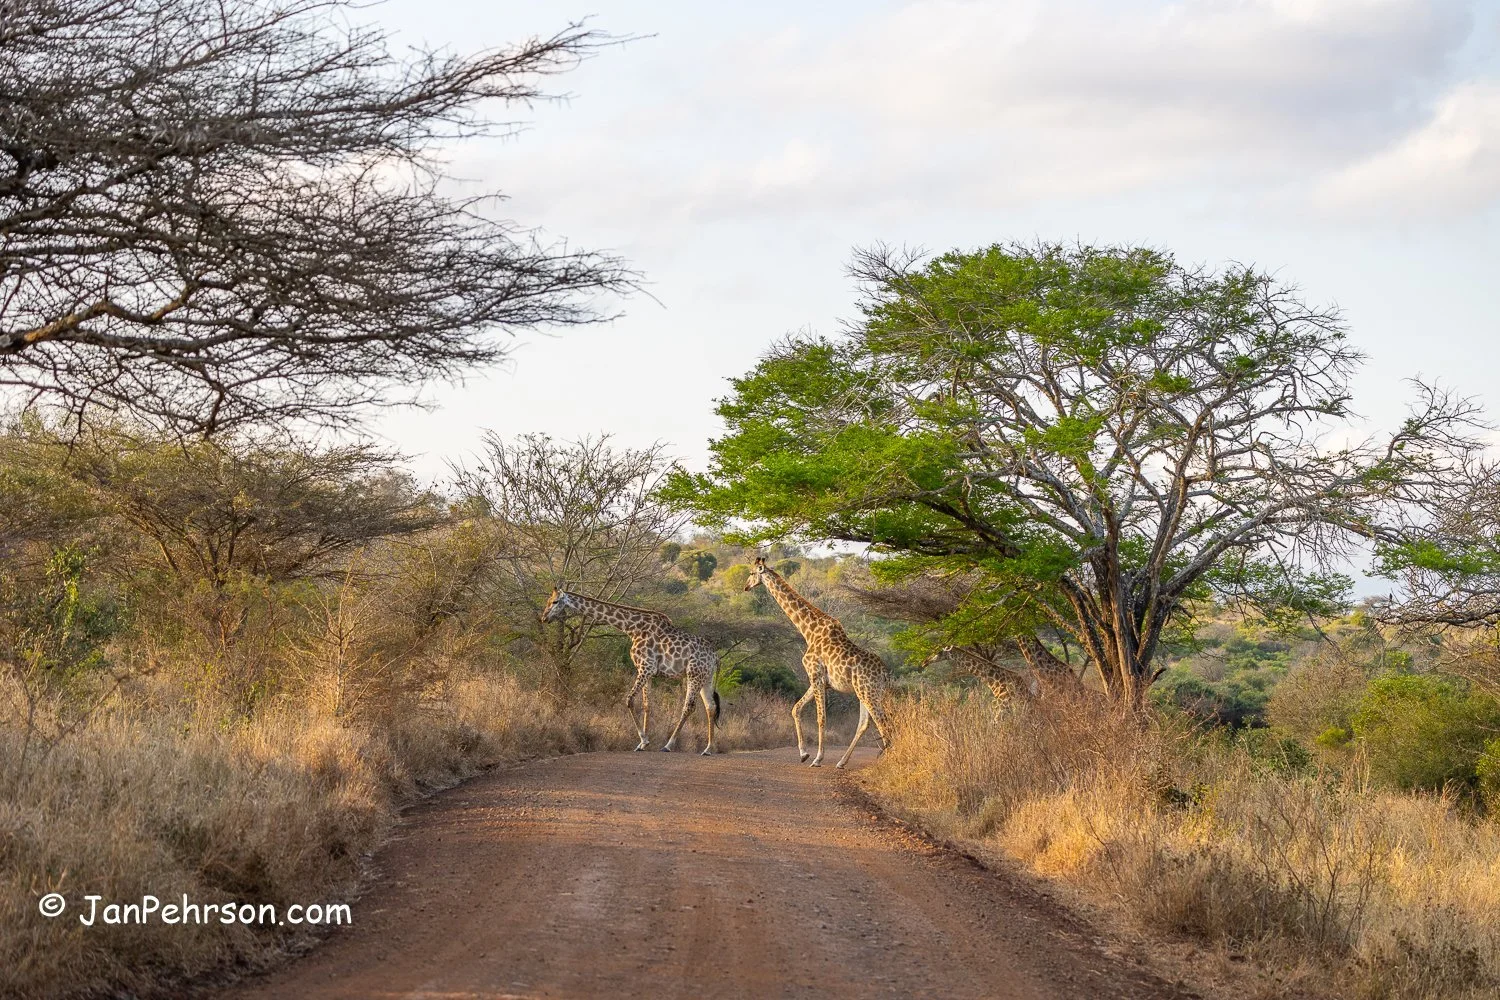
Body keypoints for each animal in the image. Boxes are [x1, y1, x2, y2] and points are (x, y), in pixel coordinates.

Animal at [540, 589, 721, 755]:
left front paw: (644, 741)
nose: (544, 618)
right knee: (710, 707)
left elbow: (629, 700)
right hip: (706, 678)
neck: (631, 628)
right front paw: (642, 744)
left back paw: (668, 745)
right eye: (548, 601)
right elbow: (647, 705)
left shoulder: (646, 667)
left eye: (555, 601)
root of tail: (715, 657)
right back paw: (708, 748)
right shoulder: (649, 672)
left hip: (694, 674)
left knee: (689, 707)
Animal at [744, 557, 891, 768]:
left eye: (751, 573)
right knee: (865, 723)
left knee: (883, 722)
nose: (746, 586)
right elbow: (796, 709)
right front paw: (803, 753)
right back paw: (842, 762)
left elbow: (821, 718)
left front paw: (817, 758)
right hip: (863, 692)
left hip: (869, 692)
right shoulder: (820, 681)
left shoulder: (816, 675)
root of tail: (885, 673)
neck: (809, 630)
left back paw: (886, 762)